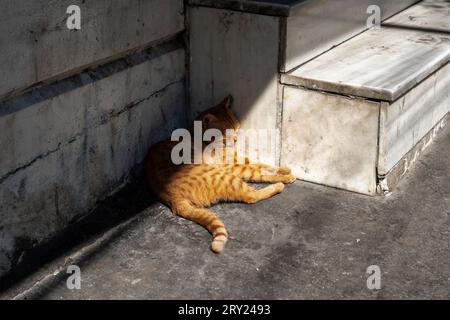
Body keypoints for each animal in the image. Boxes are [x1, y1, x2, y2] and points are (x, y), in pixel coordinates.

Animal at [147, 95, 296, 252]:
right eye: (227, 134)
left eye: (237, 128)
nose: (236, 139)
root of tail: (173, 199)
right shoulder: (233, 167)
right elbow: (259, 172)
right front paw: (284, 176)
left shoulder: (237, 159)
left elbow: (260, 164)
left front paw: (282, 169)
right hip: (224, 176)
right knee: (251, 196)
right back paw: (278, 186)